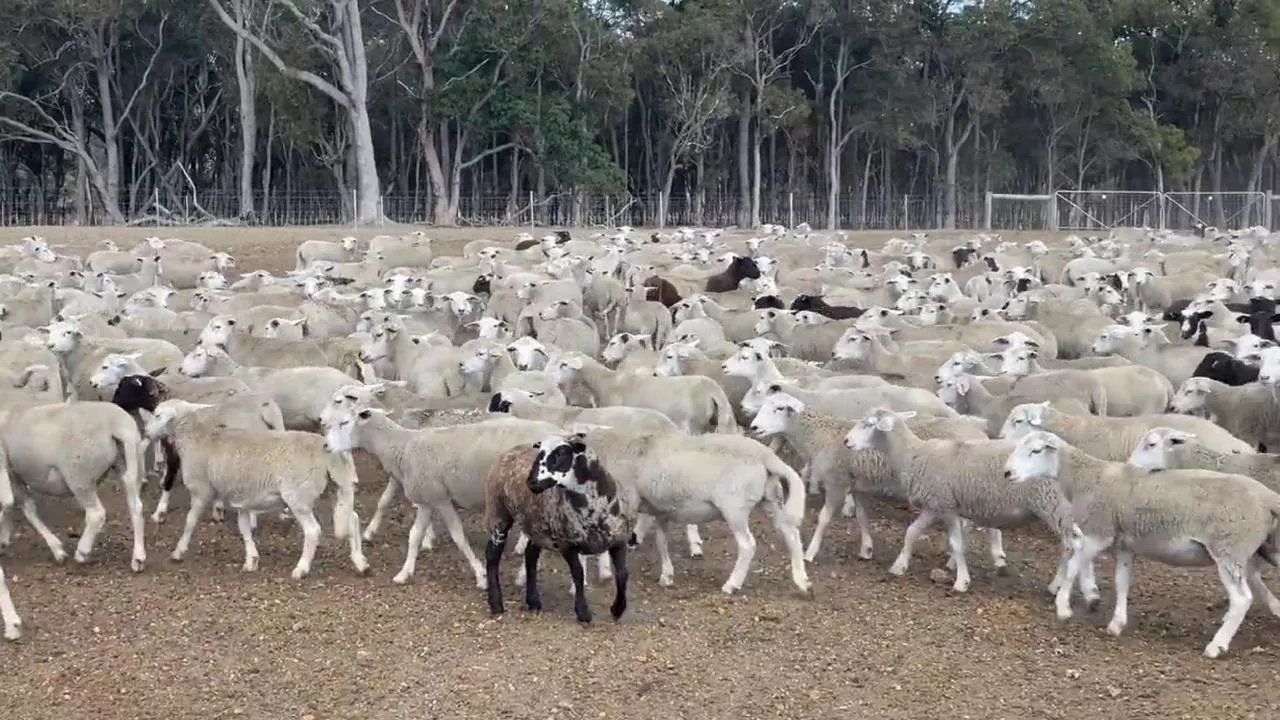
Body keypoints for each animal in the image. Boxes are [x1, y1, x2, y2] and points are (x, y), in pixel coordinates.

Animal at [144, 397, 371, 576]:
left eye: (157, 415)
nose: (145, 432)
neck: (196, 436)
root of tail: (329, 450)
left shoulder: (201, 490)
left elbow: (190, 521)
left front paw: (178, 551)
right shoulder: (243, 498)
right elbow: (244, 528)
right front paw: (251, 560)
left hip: (298, 495)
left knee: (313, 531)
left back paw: (301, 569)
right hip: (337, 489)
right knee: (353, 518)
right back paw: (361, 563)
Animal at [320, 404, 560, 584]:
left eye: (345, 423)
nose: (325, 445)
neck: (403, 446)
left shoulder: (441, 499)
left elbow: (458, 537)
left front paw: (480, 574)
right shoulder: (427, 500)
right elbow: (414, 536)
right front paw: (404, 573)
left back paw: (523, 575)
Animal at [481, 430, 637, 622]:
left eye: (561, 453)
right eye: (539, 453)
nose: (531, 483)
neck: (593, 506)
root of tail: (510, 451)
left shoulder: (619, 540)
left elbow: (622, 574)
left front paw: (618, 609)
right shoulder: (567, 544)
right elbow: (578, 574)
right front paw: (583, 612)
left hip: (537, 526)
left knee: (530, 556)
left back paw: (533, 601)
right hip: (498, 513)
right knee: (492, 556)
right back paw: (496, 603)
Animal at [998, 427, 1280, 661]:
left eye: (1036, 451)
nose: (1007, 473)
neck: (1086, 477)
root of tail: (1268, 498)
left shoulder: (1098, 533)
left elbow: (1074, 567)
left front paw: (1063, 608)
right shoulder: (1125, 545)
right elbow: (1122, 582)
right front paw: (1116, 624)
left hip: (1229, 550)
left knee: (1242, 599)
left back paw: (1216, 646)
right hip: (1257, 550)